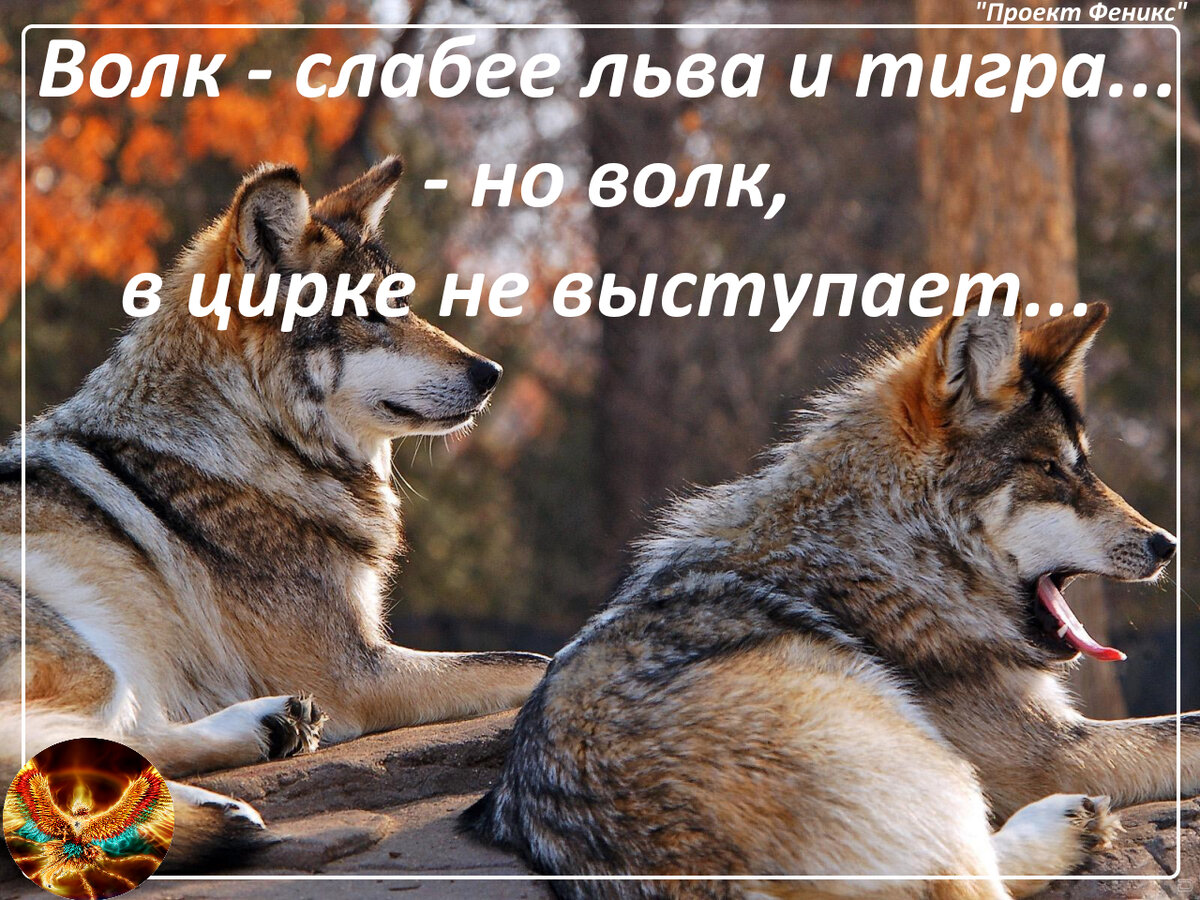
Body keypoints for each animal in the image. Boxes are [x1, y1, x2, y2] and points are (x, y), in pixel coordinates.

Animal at [0, 158, 547, 862]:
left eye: (401, 303)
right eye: (370, 313)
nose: (492, 372)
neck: (251, 437)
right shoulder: (359, 673)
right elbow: (535, 664)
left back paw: (261, 741)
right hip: (88, 653)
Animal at [463, 298, 1195, 899]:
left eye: (1085, 466)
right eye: (1051, 470)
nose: (1166, 544)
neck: (887, 548)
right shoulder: (1056, 752)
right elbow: (1183, 728)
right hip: (941, 768)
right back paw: (1067, 825)